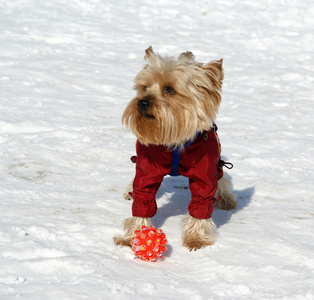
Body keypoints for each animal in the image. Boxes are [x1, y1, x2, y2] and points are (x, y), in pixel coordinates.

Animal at [114, 46, 237, 251]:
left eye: (170, 89)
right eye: (144, 87)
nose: (142, 102)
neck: (174, 142)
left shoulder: (204, 170)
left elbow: (202, 200)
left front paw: (195, 238)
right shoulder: (147, 167)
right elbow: (142, 197)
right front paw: (134, 236)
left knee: (220, 175)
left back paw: (226, 199)